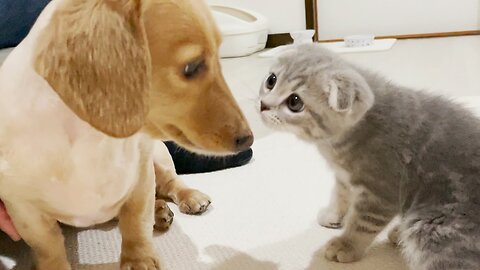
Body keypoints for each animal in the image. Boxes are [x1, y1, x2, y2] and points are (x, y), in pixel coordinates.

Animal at [0, 0, 253, 270]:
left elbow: (135, 223)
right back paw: (159, 210)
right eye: (192, 67)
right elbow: (48, 247)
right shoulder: (24, 209)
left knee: (170, 182)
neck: (90, 138)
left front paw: (140, 260)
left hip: (159, 155)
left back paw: (188, 198)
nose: (249, 138)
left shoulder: (140, 175)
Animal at [258, 44, 480, 270]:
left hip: (435, 228)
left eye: (294, 102)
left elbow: (362, 224)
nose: (263, 104)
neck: (334, 144)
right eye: (271, 81)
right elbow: (340, 195)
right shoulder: (343, 176)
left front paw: (346, 245)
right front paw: (333, 215)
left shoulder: (381, 192)